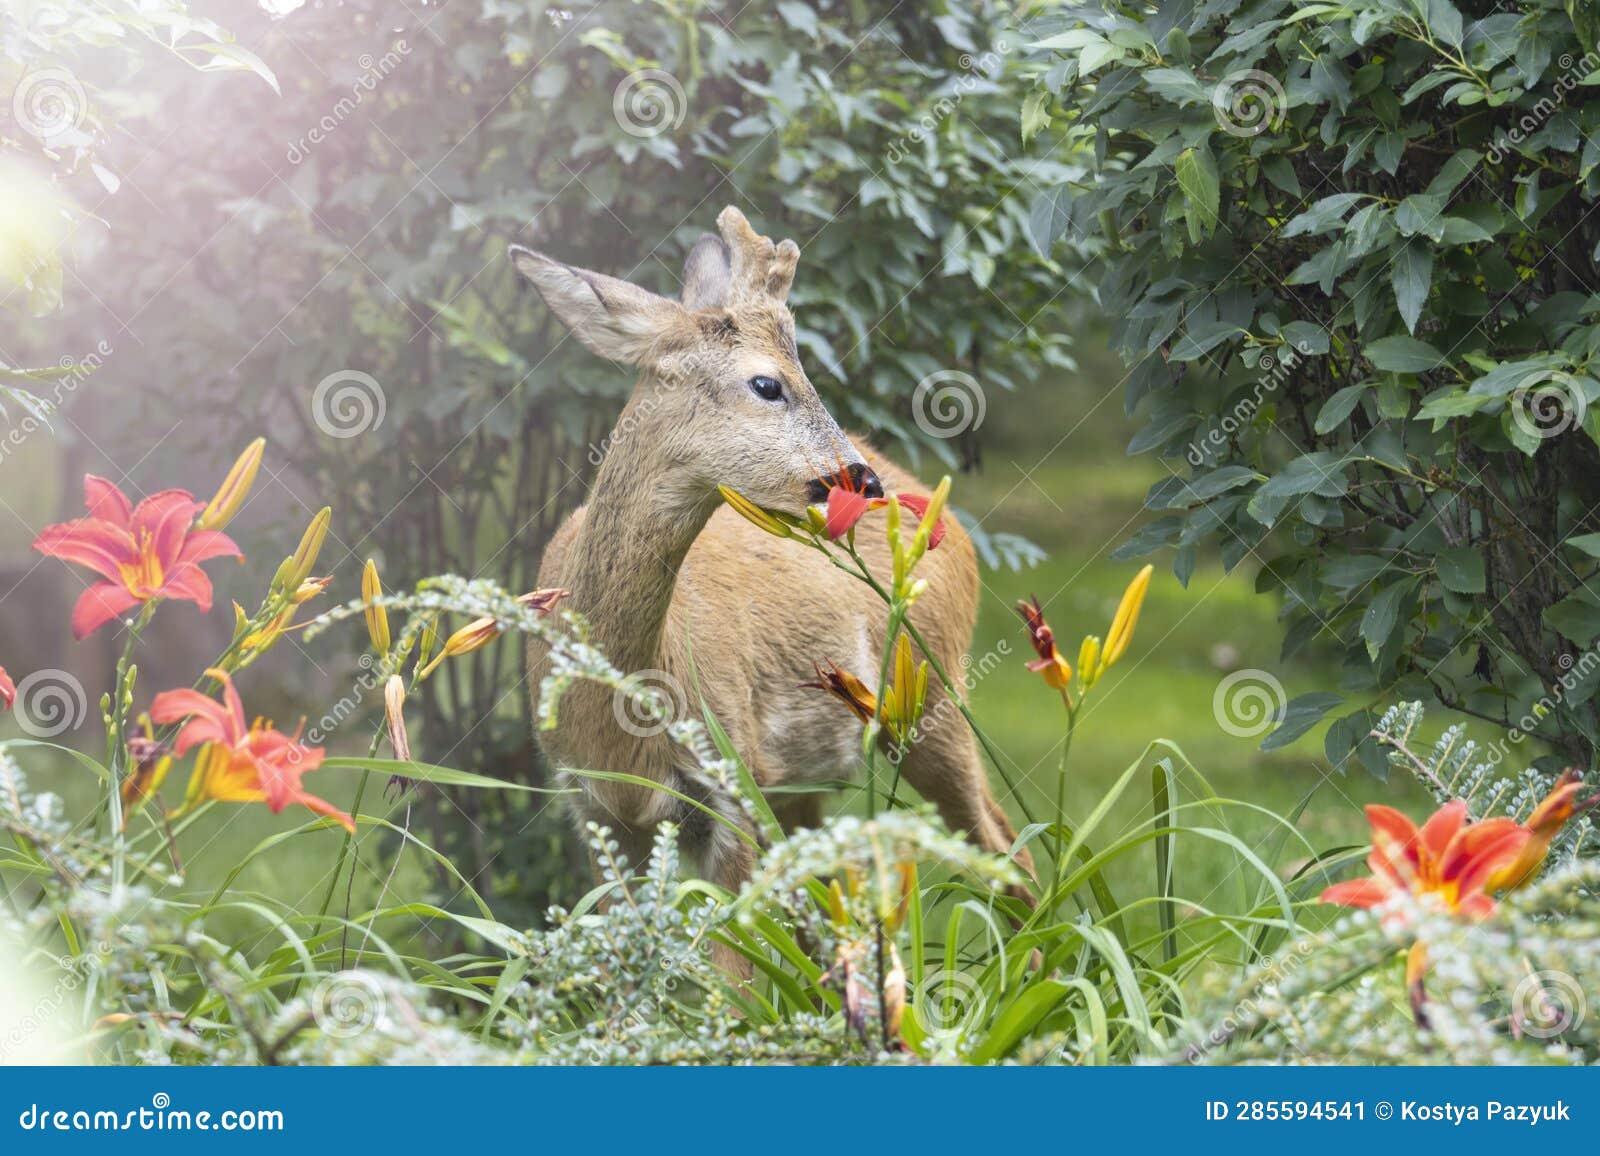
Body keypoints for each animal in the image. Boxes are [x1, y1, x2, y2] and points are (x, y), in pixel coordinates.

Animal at [511, 207, 1034, 915]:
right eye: (767, 383)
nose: (862, 481)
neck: (620, 716)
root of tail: (950, 521)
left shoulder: (734, 778)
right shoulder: (595, 806)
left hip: (934, 690)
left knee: (1010, 850)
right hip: (809, 785)